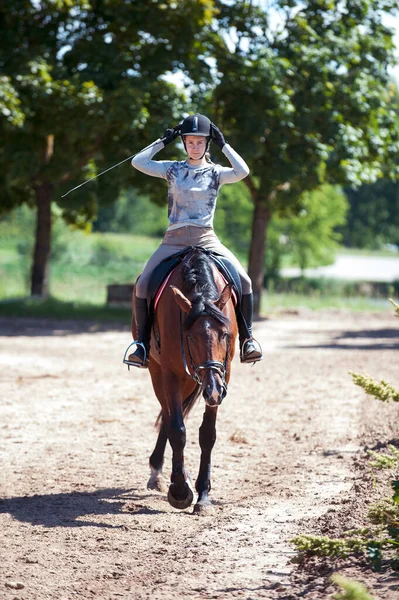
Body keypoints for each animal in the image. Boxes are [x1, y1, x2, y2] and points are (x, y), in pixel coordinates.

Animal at [133, 246, 239, 512]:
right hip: (158, 372)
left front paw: (203, 496)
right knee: (169, 415)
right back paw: (160, 473)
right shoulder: (170, 373)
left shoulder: (224, 375)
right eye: (189, 336)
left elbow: (207, 434)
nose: (213, 391)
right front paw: (180, 491)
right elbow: (178, 430)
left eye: (224, 335)